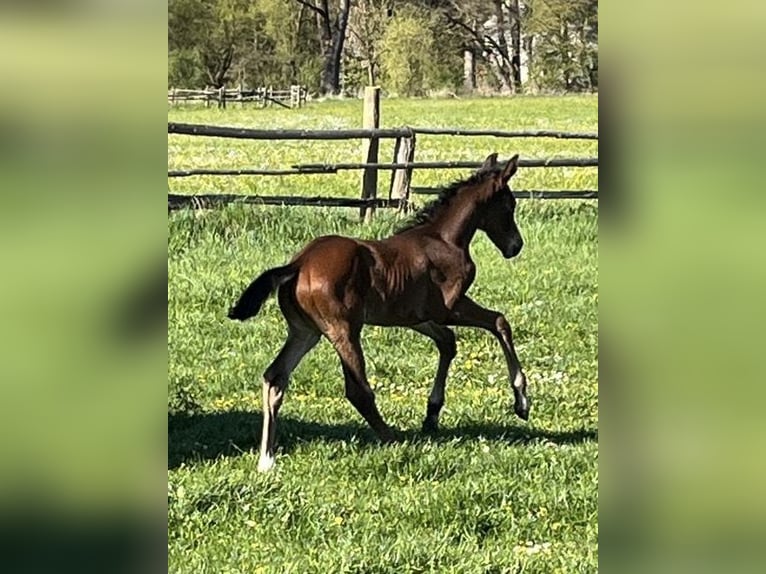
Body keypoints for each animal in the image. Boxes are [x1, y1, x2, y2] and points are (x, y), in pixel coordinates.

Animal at [228, 153, 529, 471]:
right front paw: (522, 401)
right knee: (356, 389)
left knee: (275, 376)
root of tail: (297, 265)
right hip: (344, 329)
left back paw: (266, 457)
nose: (515, 246)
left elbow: (447, 342)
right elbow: (499, 322)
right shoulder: (449, 307)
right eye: (509, 205)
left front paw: (432, 414)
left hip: (305, 332)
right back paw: (393, 439)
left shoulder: (414, 316)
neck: (443, 239)